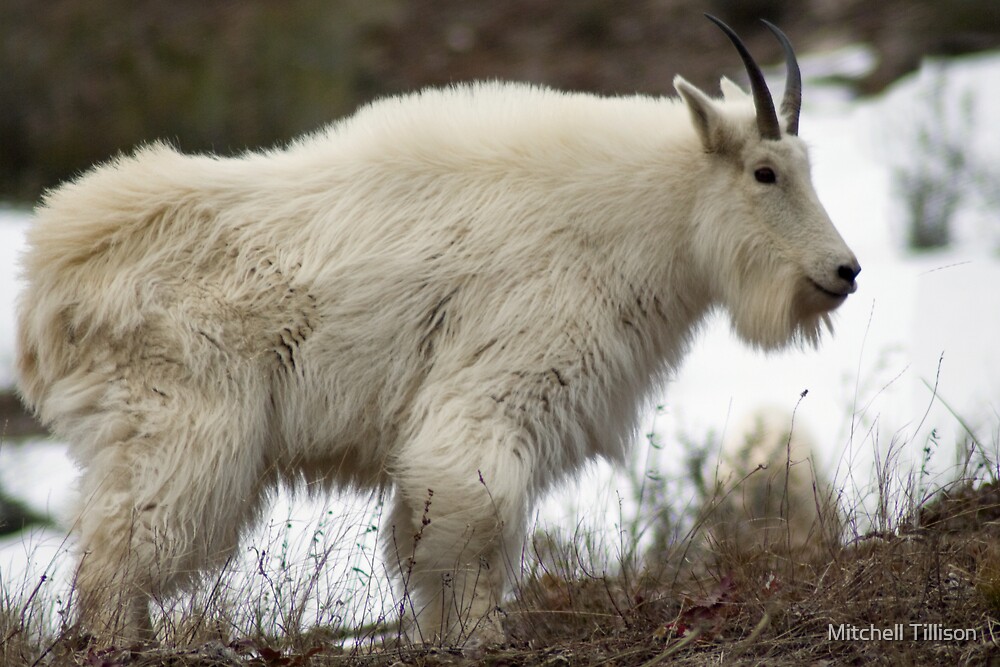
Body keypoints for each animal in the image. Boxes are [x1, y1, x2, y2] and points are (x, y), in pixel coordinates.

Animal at [16, 15, 859, 646]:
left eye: (809, 166)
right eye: (764, 172)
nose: (844, 271)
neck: (630, 221)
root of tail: (45, 293)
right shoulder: (497, 390)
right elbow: (473, 526)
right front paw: (477, 636)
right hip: (182, 430)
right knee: (117, 555)